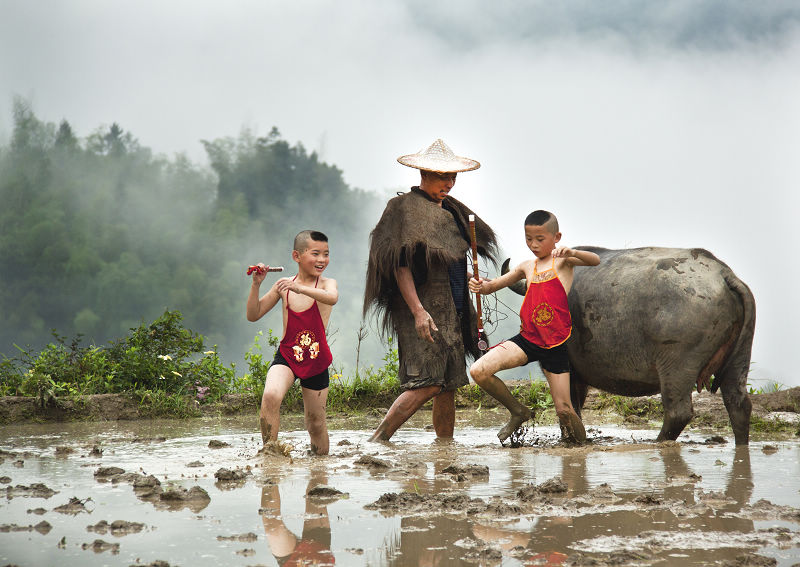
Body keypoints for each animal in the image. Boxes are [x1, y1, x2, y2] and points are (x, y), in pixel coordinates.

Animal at [506, 246, 756, 446]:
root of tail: (723, 274)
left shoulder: (567, 370)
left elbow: (568, 407)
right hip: (739, 359)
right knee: (738, 404)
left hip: (677, 366)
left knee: (678, 412)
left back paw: (659, 441)